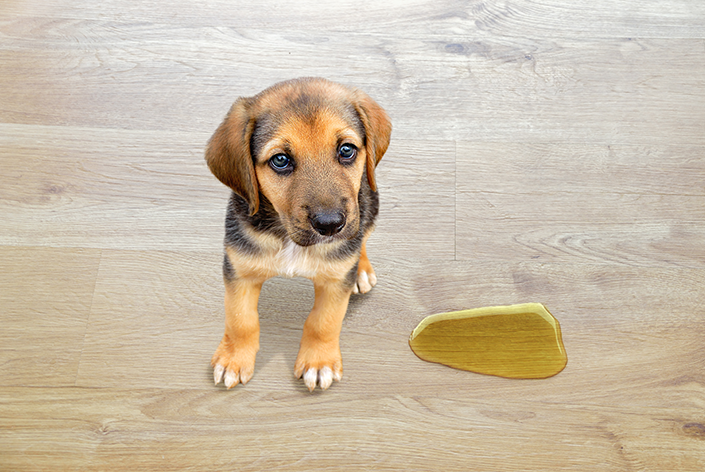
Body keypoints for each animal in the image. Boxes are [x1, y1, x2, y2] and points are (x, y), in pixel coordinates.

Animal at [204, 79, 390, 392]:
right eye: (280, 160)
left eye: (346, 150)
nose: (330, 225)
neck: (289, 238)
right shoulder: (239, 271)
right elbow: (240, 320)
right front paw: (233, 359)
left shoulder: (335, 281)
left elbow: (323, 322)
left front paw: (319, 362)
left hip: (369, 204)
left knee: (362, 235)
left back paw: (361, 269)